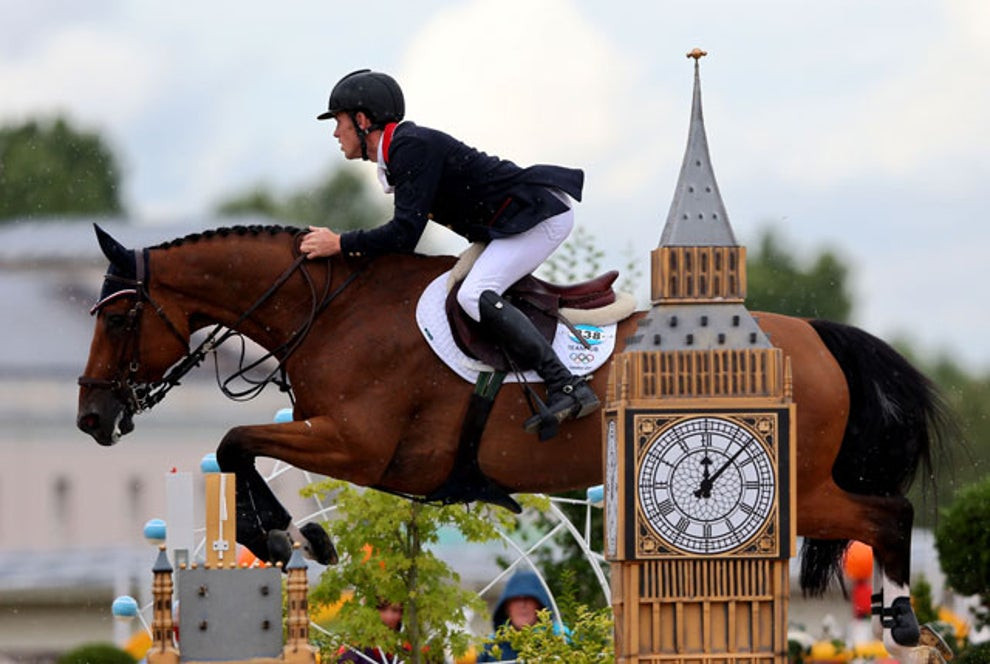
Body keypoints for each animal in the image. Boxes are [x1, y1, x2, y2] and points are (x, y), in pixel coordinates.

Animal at [75, 224, 952, 660]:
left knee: (889, 516)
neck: (335, 310)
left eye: (118, 318)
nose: (90, 419)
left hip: (792, 488)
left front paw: (289, 535)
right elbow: (240, 446)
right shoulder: (347, 446)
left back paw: (908, 619)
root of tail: (814, 335)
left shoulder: (358, 446)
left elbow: (236, 440)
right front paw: (297, 535)